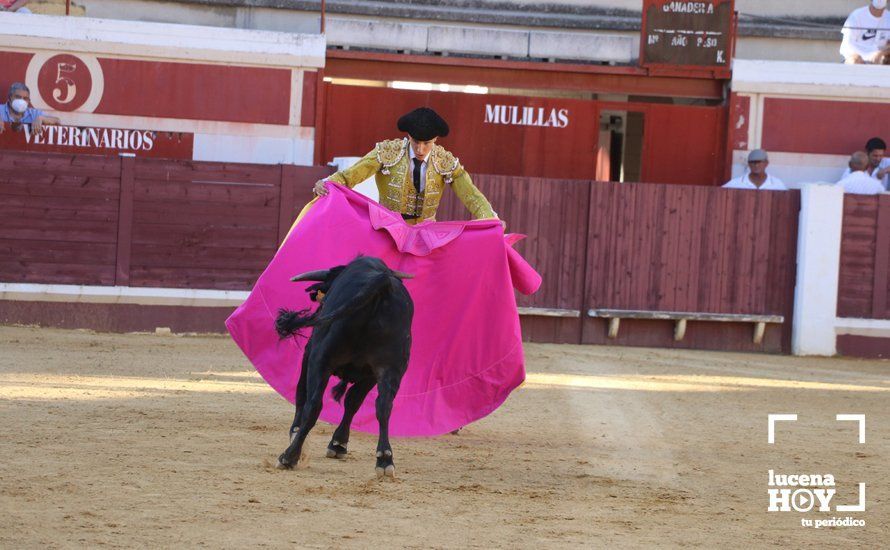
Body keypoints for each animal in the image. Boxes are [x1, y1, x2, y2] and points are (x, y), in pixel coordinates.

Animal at [274, 256, 412, 476]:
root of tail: (381, 283)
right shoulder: (370, 376)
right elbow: (353, 402)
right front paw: (338, 444)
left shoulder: (310, 355)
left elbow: (301, 394)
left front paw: (295, 432)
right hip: (391, 368)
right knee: (384, 405)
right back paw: (384, 460)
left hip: (321, 359)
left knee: (313, 404)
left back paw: (289, 456)